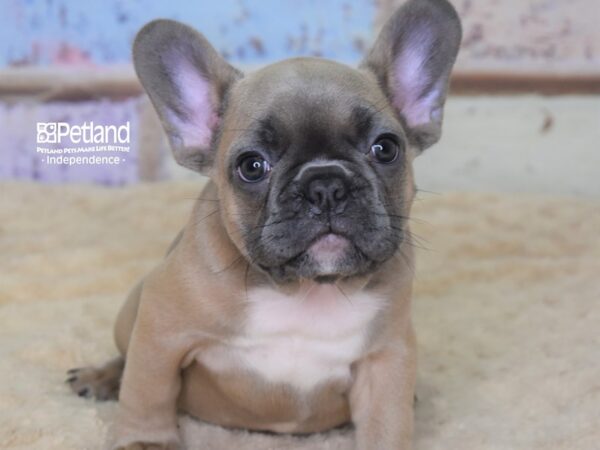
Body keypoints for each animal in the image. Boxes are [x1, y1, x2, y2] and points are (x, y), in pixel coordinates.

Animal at [67, 1, 460, 448]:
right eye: (252, 166)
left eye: (386, 148)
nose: (326, 184)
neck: (307, 290)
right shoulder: (160, 330)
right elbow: (148, 392)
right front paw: (145, 441)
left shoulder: (386, 359)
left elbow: (387, 424)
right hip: (130, 310)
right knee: (127, 359)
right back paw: (102, 376)